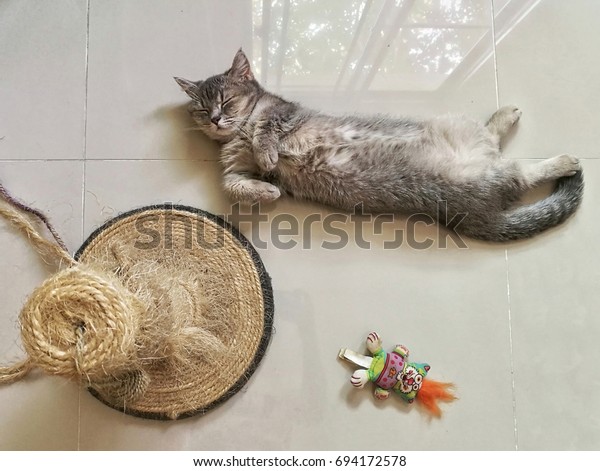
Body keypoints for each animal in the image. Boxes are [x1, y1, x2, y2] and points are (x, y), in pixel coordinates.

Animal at [173, 49, 580, 242]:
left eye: (226, 102)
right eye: (201, 109)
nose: (214, 119)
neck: (236, 134)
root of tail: (482, 216)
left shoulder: (282, 114)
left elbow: (265, 129)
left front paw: (267, 151)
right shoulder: (236, 169)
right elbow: (233, 184)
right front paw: (268, 191)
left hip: (470, 148)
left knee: (519, 166)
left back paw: (560, 156)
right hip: (481, 173)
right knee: (506, 158)